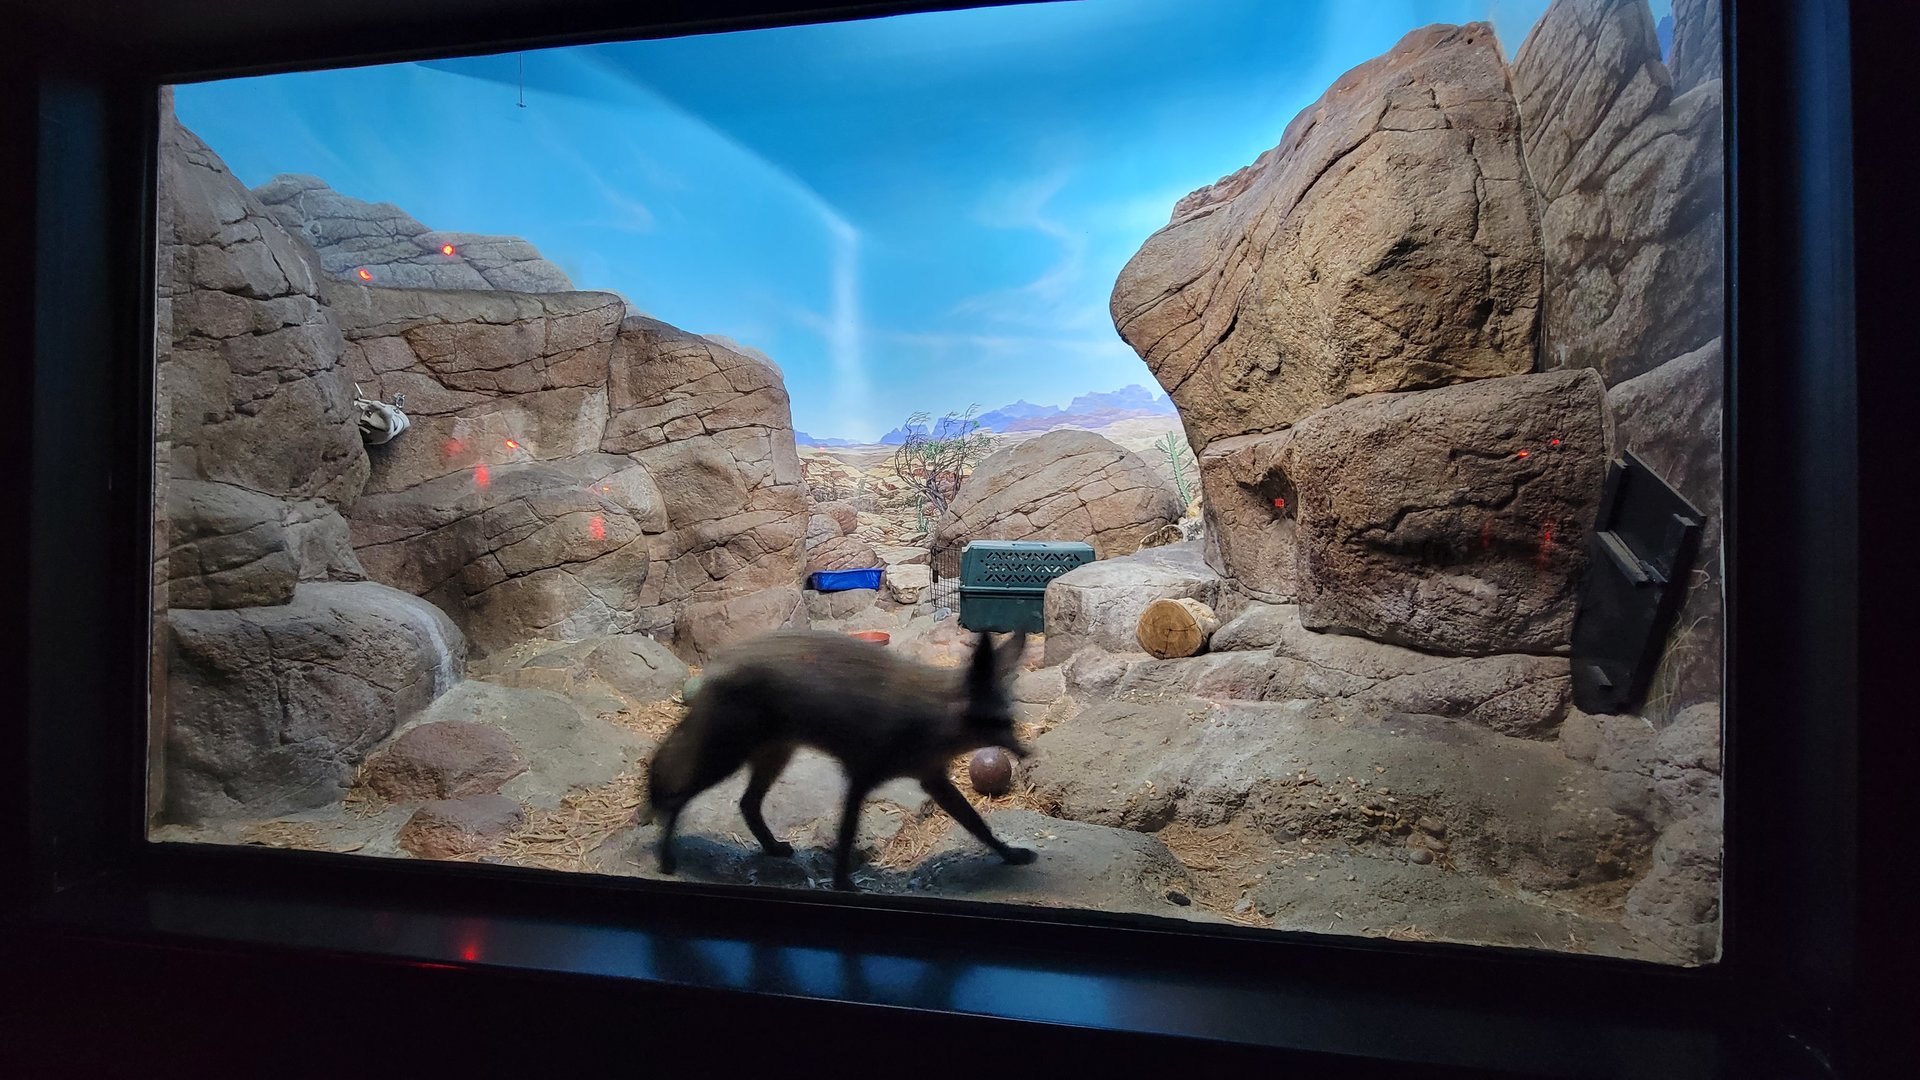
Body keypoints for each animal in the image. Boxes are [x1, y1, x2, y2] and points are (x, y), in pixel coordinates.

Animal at [645, 627, 1037, 891]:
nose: (1026, 752)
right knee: (678, 797)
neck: (930, 717)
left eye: (1011, 722)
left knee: (747, 804)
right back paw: (665, 860)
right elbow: (846, 836)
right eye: (1001, 724)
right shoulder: (860, 779)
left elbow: (978, 825)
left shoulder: (932, 779)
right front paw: (842, 884)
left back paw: (772, 848)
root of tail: (719, 665)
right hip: (727, 759)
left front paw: (1010, 854)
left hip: (774, 757)